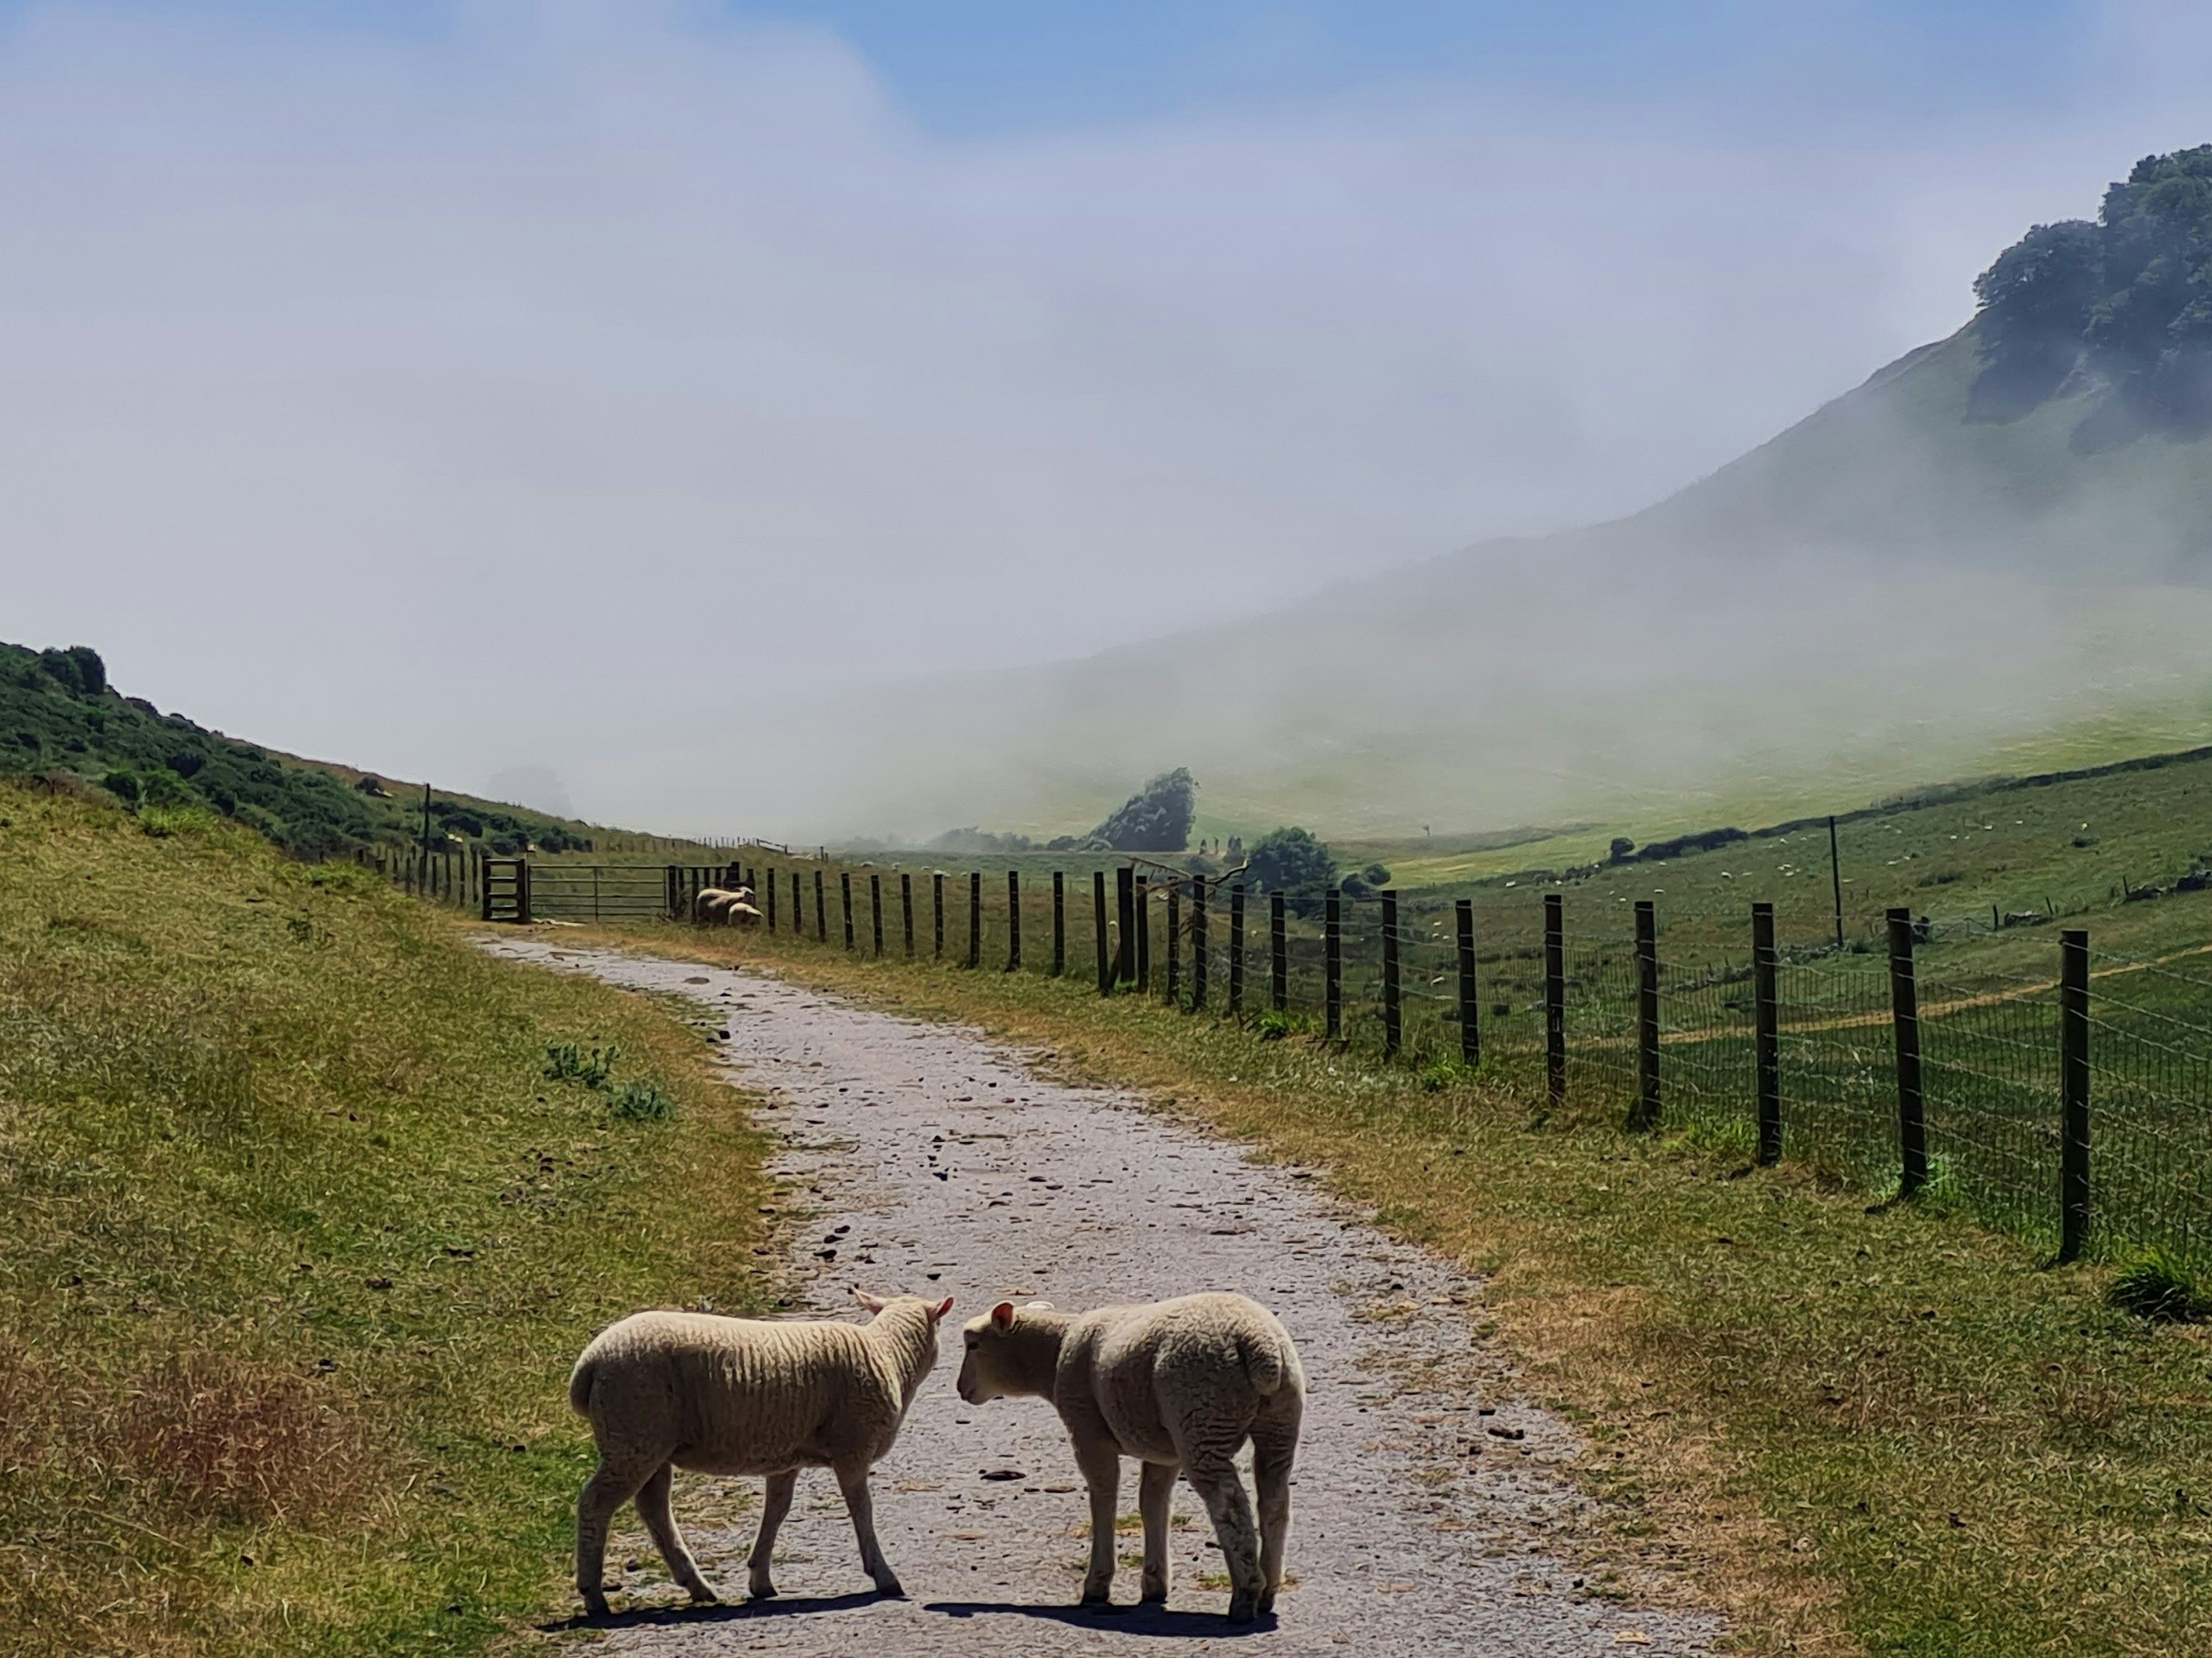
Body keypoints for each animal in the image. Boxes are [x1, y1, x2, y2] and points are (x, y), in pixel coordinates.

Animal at [567, 1289, 955, 1615]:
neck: (889, 1353)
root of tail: (589, 1364)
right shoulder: (853, 1448)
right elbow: (862, 1510)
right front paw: (883, 1575)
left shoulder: (786, 1457)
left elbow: (777, 1511)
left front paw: (760, 1578)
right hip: (634, 1433)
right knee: (595, 1504)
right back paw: (593, 1595)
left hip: (649, 1443)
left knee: (654, 1508)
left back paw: (697, 1586)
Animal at [956, 1291, 1303, 1623]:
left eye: (973, 1344)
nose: (961, 1389)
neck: (1054, 1354)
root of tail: (1260, 1346)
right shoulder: (1163, 1452)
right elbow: (1153, 1504)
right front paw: (1154, 1582)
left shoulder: (1088, 1431)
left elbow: (1104, 1498)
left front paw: (1097, 1584)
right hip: (1278, 1420)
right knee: (1274, 1500)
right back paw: (1268, 1590)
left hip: (1202, 1412)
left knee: (1229, 1504)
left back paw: (1245, 1596)